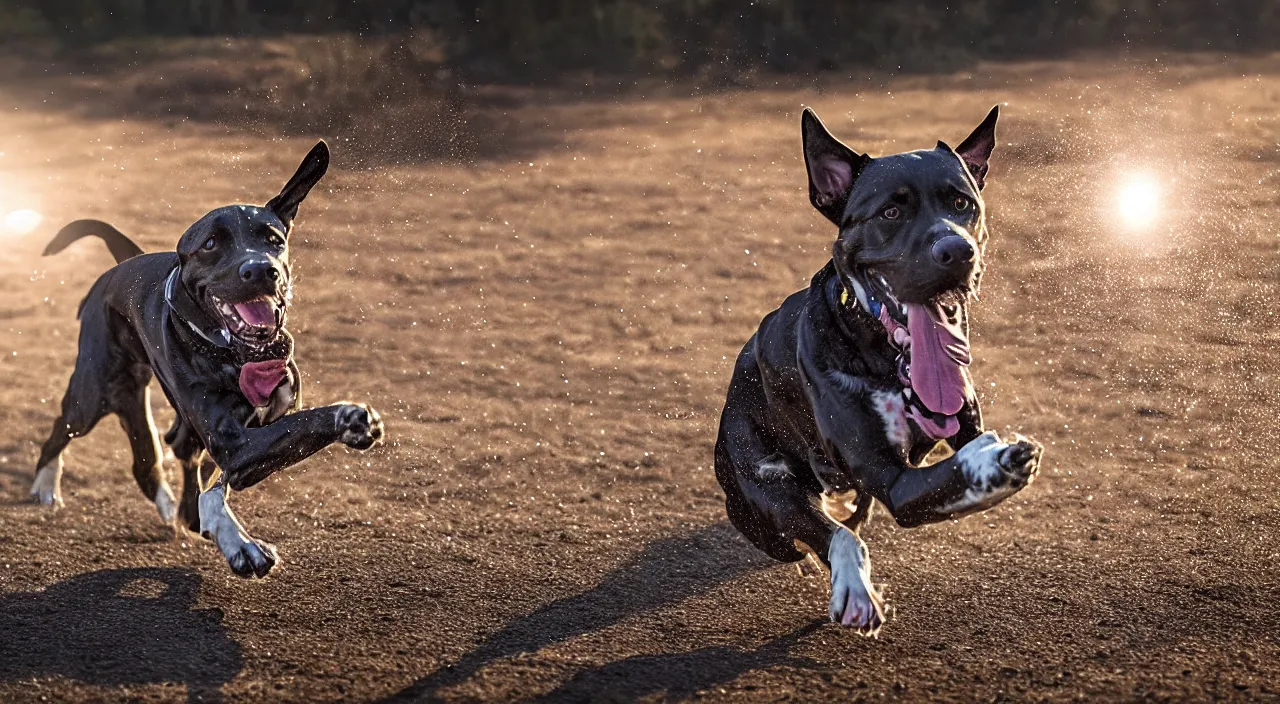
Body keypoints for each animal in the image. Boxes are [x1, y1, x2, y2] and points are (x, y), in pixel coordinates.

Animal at [33, 142, 384, 578]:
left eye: (273, 238)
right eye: (211, 245)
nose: (261, 269)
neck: (240, 356)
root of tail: (124, 263)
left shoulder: (254, 431)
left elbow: (215, 485)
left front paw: (226, 533)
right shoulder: (233, 443)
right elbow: (294, 431)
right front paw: (349, 417)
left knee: (163, 456)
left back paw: (178, 511)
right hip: (95, 394)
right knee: (65, 431)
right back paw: (46, 487)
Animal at [716, 107, 1044, 637]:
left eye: (962, 203)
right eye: (890, 213)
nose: (957, 251)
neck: (888, 361)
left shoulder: (959, 422)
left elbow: (962, 454)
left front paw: (992, 462)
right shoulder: (891, 481)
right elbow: (936, 482)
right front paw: (997, 462)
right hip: (762, 506)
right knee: (817, 532)